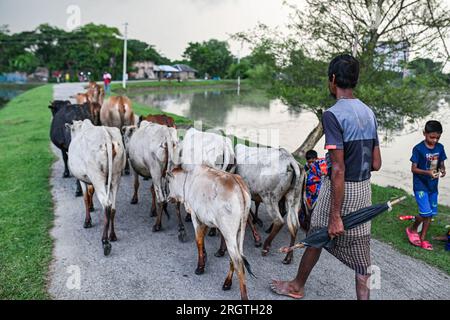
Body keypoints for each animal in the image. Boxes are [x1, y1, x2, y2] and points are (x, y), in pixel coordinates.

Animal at [65, 119, 125, 256]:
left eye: (71, 130)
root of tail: (106, 135)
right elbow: (90, 192)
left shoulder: (83, 178)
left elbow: (85, 198)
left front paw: (87, 221)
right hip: (116, 176)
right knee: (113, 207)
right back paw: (112, 235)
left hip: (97, 176)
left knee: (107, 205)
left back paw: (105, 242)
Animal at [167, 165, 255, 300]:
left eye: (169, 182)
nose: (168, 198)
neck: (188, 179)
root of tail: (239, 187)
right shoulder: (206, 220)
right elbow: (202, 239)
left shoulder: (195, 216)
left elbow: (198, 240)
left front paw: (200, 267)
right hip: (239, 231)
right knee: (234, 258)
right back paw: (227, 283)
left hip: (228, 233)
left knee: (238, 261)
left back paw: (243, 295)